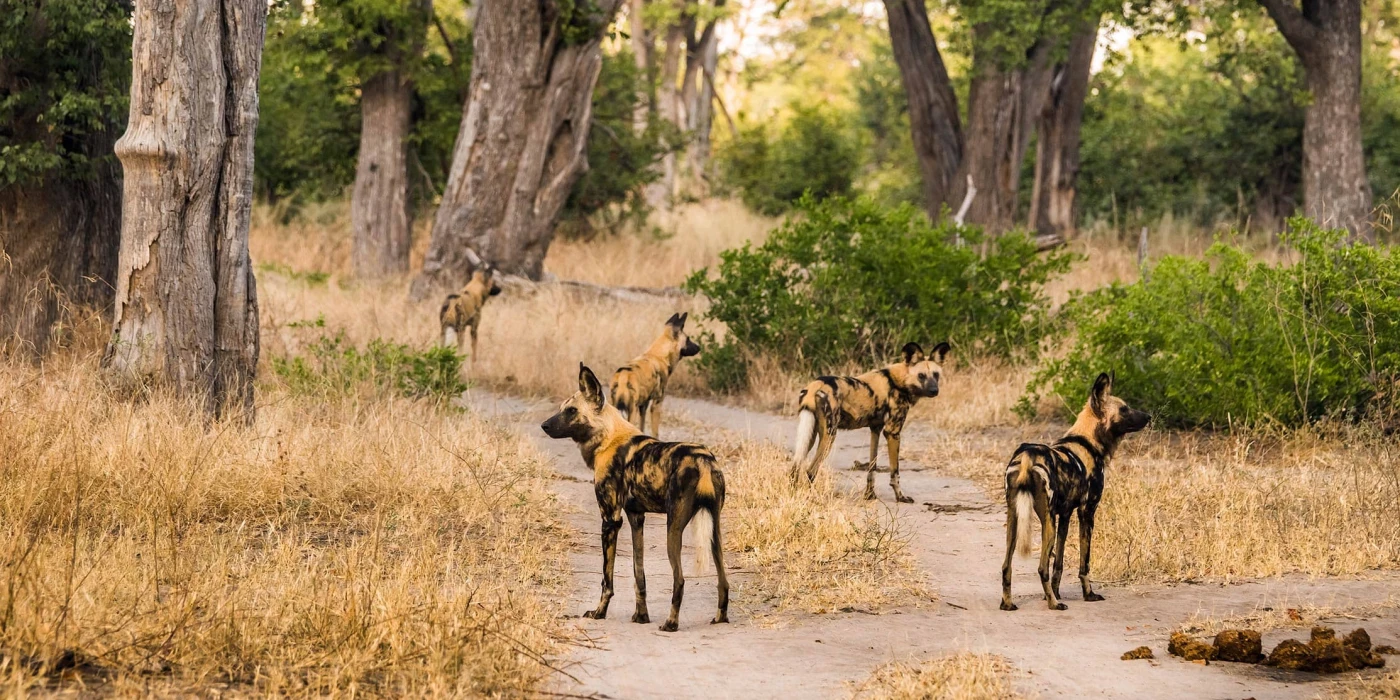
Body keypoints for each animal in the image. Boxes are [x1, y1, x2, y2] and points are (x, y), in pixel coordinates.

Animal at [537, 364, 728, 632]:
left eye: (572, 411)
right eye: (562, 408)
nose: (544, 425)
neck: (608, 438)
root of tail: (703, 458)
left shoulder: (610, 521)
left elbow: (606, 580)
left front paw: (599, 613)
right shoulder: (636, 518)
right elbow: (640, 575)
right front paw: (641, 616)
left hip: (673, 529)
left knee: (679, 579)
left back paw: (671, 623)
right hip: (714, 533)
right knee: (724, 580)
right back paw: (720, 618)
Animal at [789, 340, 952, 501]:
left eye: (936, 375)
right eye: (921, 376)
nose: (934, 390)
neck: (899, 381)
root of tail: (815, 385)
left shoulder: (875, 430)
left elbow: (872, 468)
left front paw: (870, 495)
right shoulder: (892, 432)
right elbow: (895, 472)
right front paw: (900, 497)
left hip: (810, 434)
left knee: (795, 467)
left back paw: (795, 496)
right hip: (829, 435)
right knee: (810, 470)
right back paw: (812, 498)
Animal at [1008, 372, 1148, 613]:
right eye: (1124, 409)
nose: (1148, 416)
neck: (1088, 441)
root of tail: (1027, 455)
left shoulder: (1065, 515)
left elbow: (1059, 563)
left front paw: (1055, 591)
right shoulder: (1087, 512)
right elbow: (1085, 562)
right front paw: (1088, 594)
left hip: (1015, 520)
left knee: (1006, 566)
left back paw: (1008, 603)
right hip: (1047, 523)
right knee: (1041, 567)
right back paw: (1054, 605)